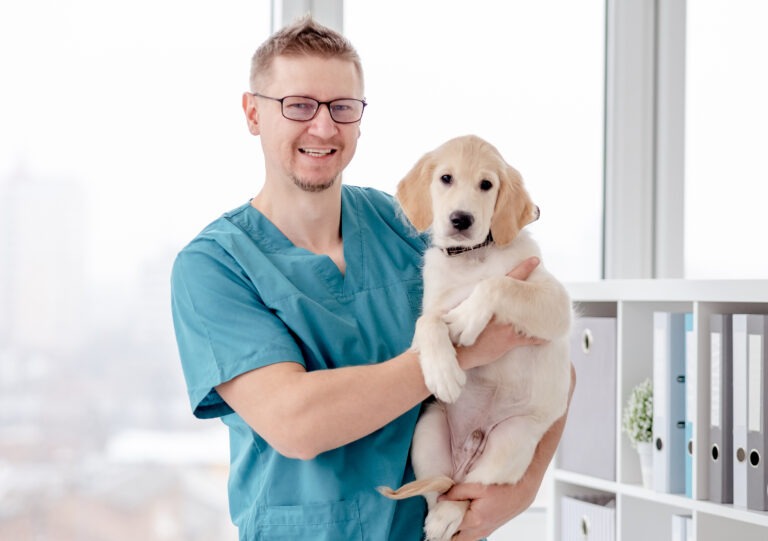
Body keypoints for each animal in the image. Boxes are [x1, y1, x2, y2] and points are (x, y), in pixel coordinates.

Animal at [380, 136, 572, 540]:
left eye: (486, 185)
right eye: (446, 178)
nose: (461, 219)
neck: (471, 259)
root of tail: (467, 454)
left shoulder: (555, 302)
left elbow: (497, 284)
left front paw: (467, 317)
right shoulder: (431, 307)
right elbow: (428, 323)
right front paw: (442, 371)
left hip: (511, 441)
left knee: (467, 491)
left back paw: (448, 517)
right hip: (428, 431)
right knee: (440, 490)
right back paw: (439, 518)